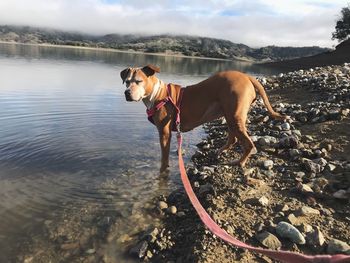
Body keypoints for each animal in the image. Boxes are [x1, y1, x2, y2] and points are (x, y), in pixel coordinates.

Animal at [121, 65, 288, 173]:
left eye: (139, 81)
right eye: (127, 81)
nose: (127, 93)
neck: (156, 94)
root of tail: (247, 76)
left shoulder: (164, 132)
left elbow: (164, 156)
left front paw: (163, 168)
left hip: (234, 115)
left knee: (248, 144)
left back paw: (239, 162)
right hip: (230, 115)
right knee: (233, 138)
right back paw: (220, 151)